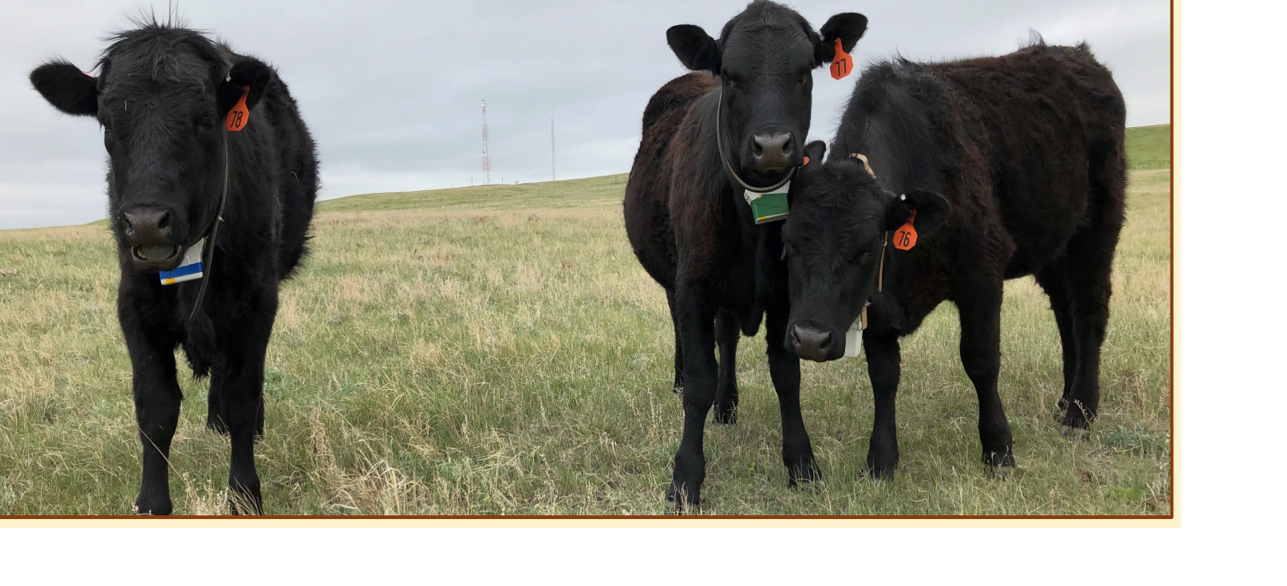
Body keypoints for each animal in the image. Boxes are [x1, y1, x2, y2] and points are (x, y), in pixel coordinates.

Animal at [29, 19, 319, 515]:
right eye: (107, 123)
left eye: (205, 119)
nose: (147, 222)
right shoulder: (134, 304)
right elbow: (155, 407)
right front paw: (151, 502)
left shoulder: (258, 301)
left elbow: (243, 395)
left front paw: (244, 496)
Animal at [623, 0, 868, 511]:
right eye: (732, 76)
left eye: (804, 71)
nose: (772, 145)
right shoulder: (693, 287)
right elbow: (700, 380)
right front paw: (685, 479)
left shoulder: (786, 296)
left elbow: (786, 374)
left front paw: (802, 464)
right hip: (676, 282)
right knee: (688, 337)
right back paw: (687, 383)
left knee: (728, 337)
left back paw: (728, 403)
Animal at [781, 40, 1126, 480]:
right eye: (789, 242)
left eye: (868, 248)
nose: (809, 339)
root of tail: (1080, 58)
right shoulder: (877, 302)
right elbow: (883, 375)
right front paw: (881, 460)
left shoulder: (981, 274)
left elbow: (980, 360)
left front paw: (998, 448)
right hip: (1053, 243)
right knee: (1066, 316)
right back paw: (1066, 401)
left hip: (1097, 229)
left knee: (1089, 313)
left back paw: (1081, 414)